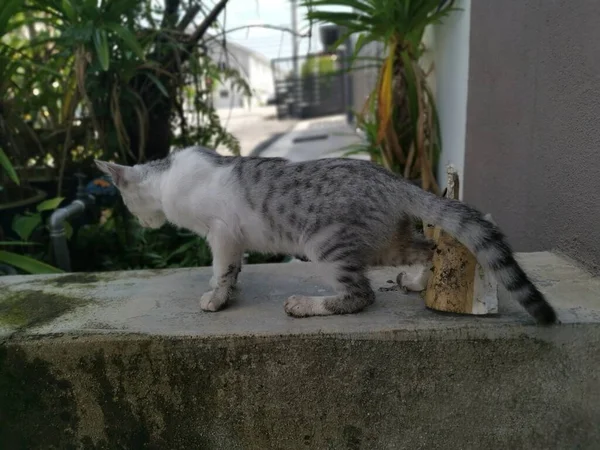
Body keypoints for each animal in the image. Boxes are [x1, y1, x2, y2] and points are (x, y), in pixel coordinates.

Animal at [95, 146, 556, 326]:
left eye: (127, 204)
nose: (144, 227)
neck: (168, 176)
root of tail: (391, 179)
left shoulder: (221, 232)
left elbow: (222, 267)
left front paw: (217, 297)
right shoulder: (233, 238)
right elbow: (231, 268)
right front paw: (226, 289)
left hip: (324, 245)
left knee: (360, 295)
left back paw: (304, 304)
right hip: (387, 241)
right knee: (428, 249)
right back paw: (418, 281)